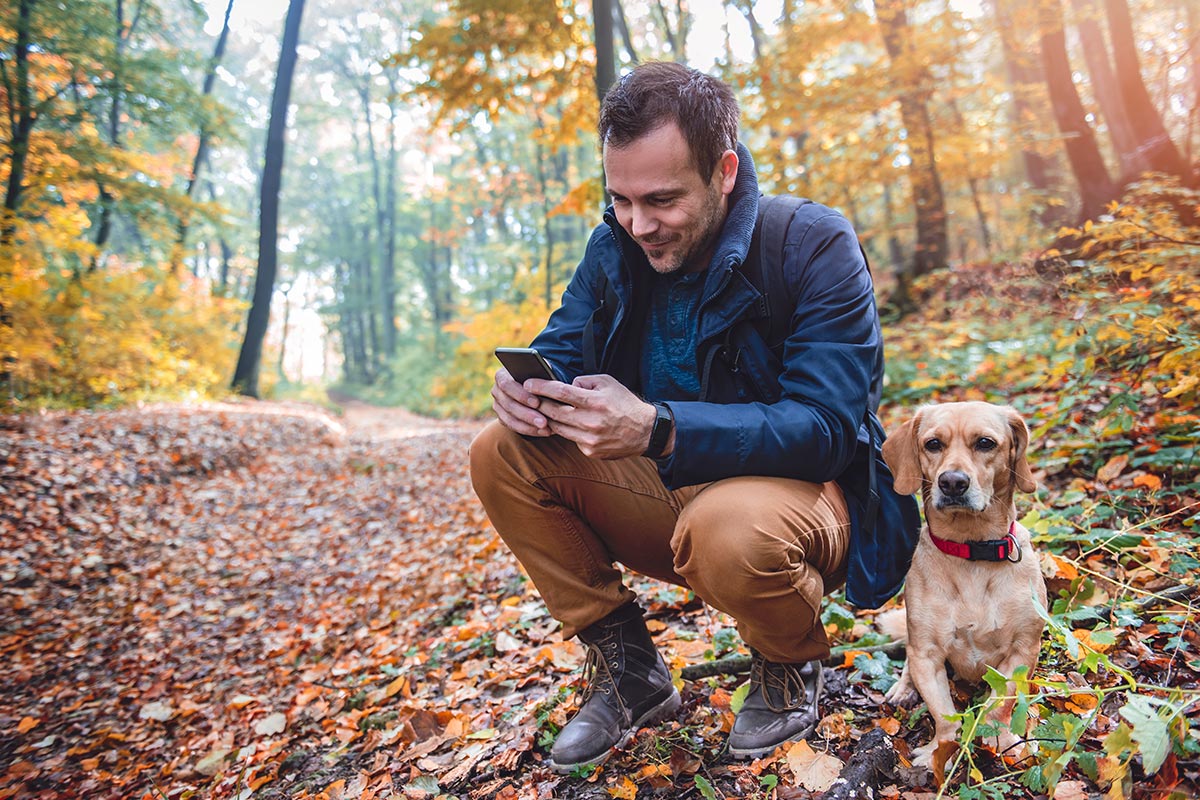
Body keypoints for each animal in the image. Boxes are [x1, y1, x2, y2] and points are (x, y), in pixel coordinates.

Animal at [878, 407, 1046, 767]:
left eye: (985, 443)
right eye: (933, 444)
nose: (952, 481)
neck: (971, 550)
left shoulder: (1022, 650)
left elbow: (1000, 705)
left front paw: (1001, 740)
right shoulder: (926, 655)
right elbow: (944, 714)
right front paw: (939, 752)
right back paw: (903, 688)